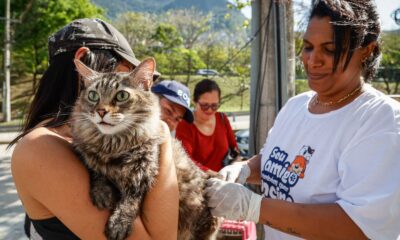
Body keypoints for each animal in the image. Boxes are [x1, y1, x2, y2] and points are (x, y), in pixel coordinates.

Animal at [71, 58, 219, 240]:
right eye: (93, 96)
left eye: (122, 95)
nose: (100, 111)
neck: (113, 145)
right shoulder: (87, 155)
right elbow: (96, 172)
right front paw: (102, 193)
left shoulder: (143, 173)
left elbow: (131, 201)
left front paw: (119, 224)